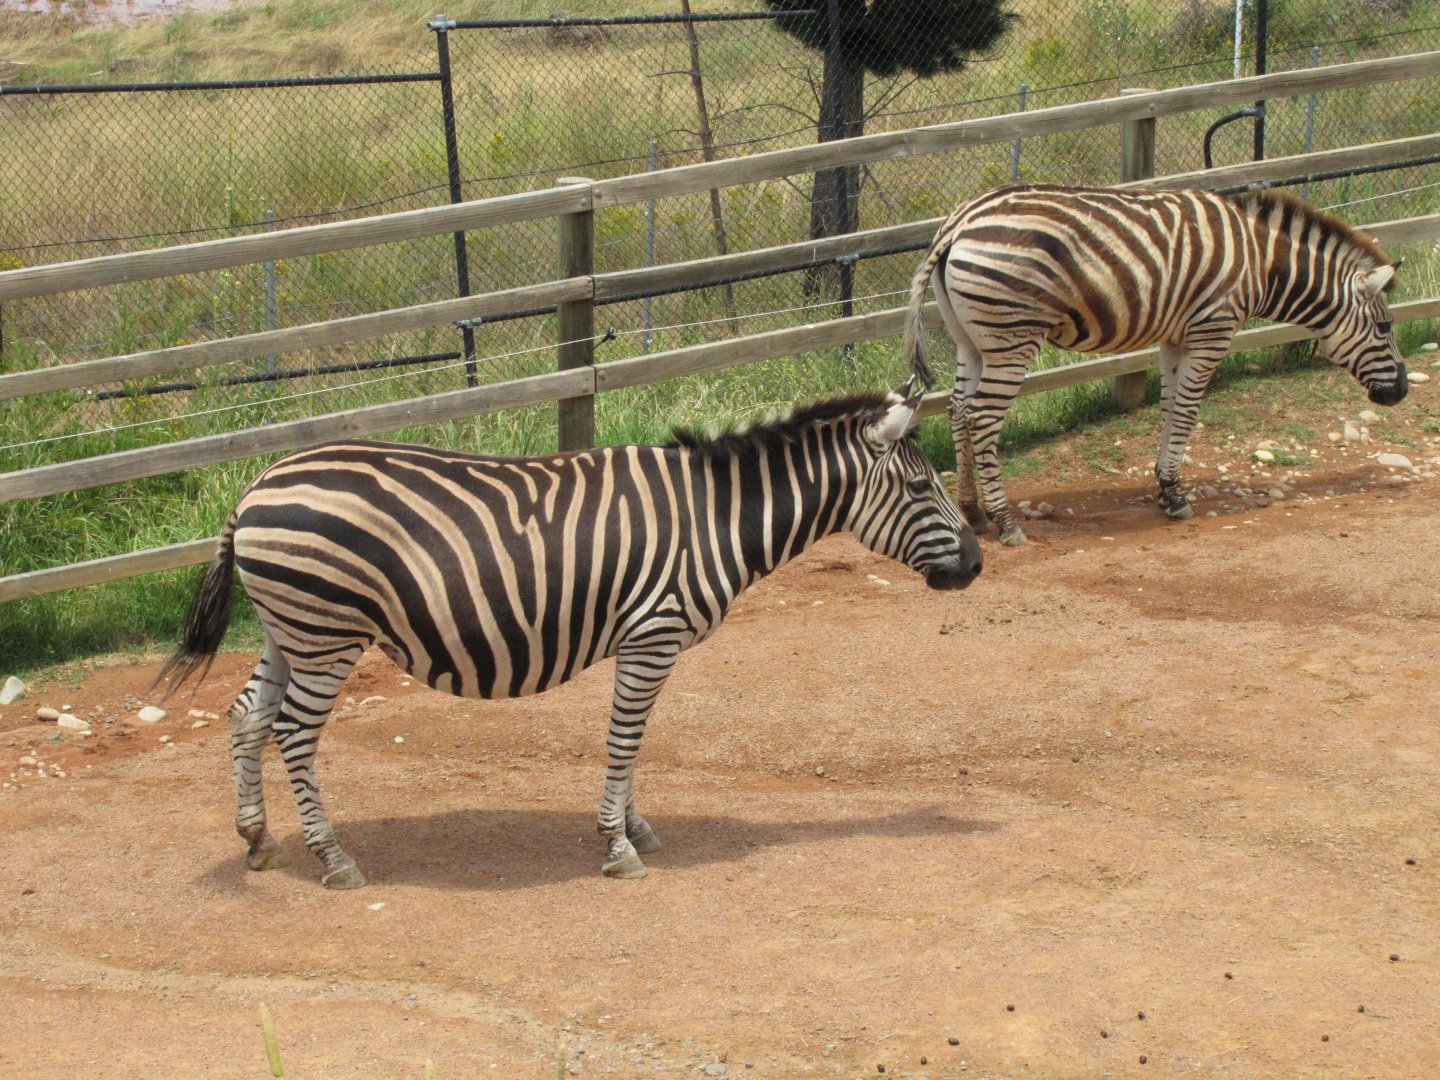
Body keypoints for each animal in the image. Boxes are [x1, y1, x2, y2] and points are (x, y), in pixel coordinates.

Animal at [158, 382, 982, 889]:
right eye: (920, 486)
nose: (976, 564)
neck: (716, 516)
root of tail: (253, 488)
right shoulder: (652, 634)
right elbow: (624, 738)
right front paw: (617, 845)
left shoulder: (648, 642)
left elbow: (637, 740)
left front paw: (637, 827)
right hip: (326, 633)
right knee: (293, 732)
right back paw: (333, 858)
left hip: (291, 631)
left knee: (247, 716)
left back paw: (259, 840)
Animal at [903, 184, 1409, 546]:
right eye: (1385, 327)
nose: (1401, 391)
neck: (1261, 265)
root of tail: (959, 221)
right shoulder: (1213, 329)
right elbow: (1187, 411)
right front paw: (1176, 496)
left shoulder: (1175, 337)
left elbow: (1169, 407)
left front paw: (1165, 487)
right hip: (1013, 338)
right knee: (983, 419)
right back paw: (1006, 523)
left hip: (970, 339)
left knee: (958, 411)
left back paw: (972, 512)